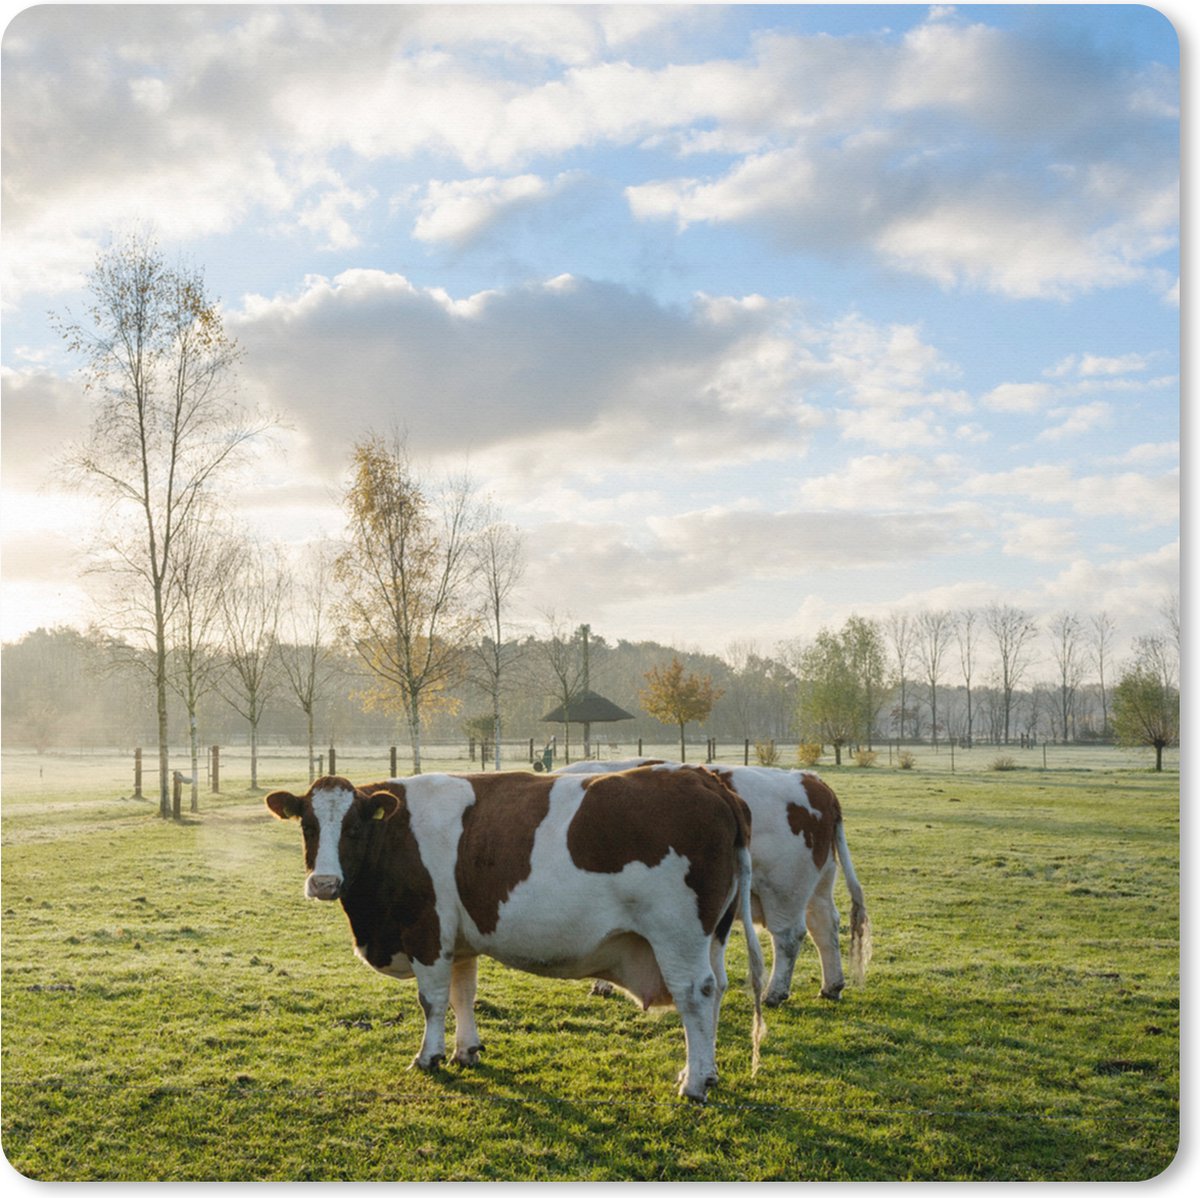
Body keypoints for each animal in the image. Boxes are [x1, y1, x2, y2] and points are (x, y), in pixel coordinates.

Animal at [265, 767, 766, 1101]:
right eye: (308, 825)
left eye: (353, 828)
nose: (324, 883)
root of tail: (704, 779)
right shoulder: (459, 941)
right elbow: (463, 994)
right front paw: (465, 1051)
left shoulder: (427, 930)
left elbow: (432, 1001)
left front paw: (429, 1056)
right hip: (714, 934)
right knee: (718, 988)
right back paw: (708, 1072)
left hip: (677, 934)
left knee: (695, 994)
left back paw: (694, 1083)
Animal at [556, 759, 871, 1007]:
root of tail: (811, 780)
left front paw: (603, 984)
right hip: (818, 884)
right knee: (825, 926)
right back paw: (831, 986)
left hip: (784, 889)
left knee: (789, 936)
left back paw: (775, 993)